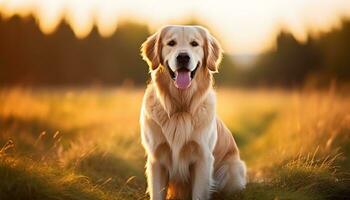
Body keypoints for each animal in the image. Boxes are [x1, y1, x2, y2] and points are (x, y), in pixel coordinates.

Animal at [139, 25, 246, 199]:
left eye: (194, 44)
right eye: (171, 43)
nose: (183, 57)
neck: (180, 108)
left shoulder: (203, 157)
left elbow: (199, 194)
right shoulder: (156, 158)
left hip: (232, 171)